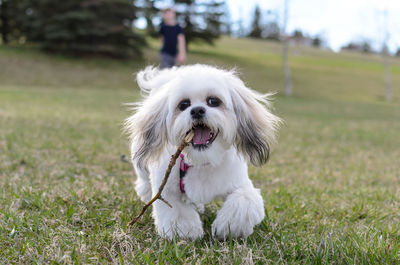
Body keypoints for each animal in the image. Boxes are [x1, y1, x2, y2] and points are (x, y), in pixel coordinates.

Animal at [125, 64, 282, 239]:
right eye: (183, 104)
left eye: (213, 101)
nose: (197, 110)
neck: (202, 161)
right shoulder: (166, 190)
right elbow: (177, 211)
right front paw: (186, 233)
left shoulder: (240, 184)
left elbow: (243, 201)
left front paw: (227, 227)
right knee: (144, 182)